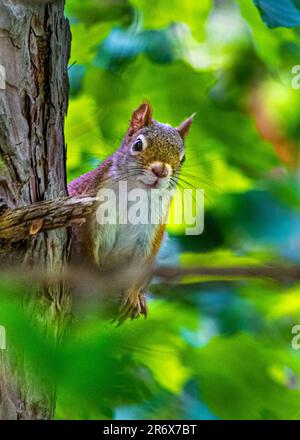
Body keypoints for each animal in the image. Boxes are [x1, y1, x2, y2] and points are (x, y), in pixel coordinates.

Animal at [68, 102, 195, 324]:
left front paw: (133, 295)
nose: (161, 170)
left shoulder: (152, 229)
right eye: (137, 145)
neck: (136, 191)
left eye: (183, 158)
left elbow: (140, 265)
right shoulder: (91, 215)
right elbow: (86, 249)